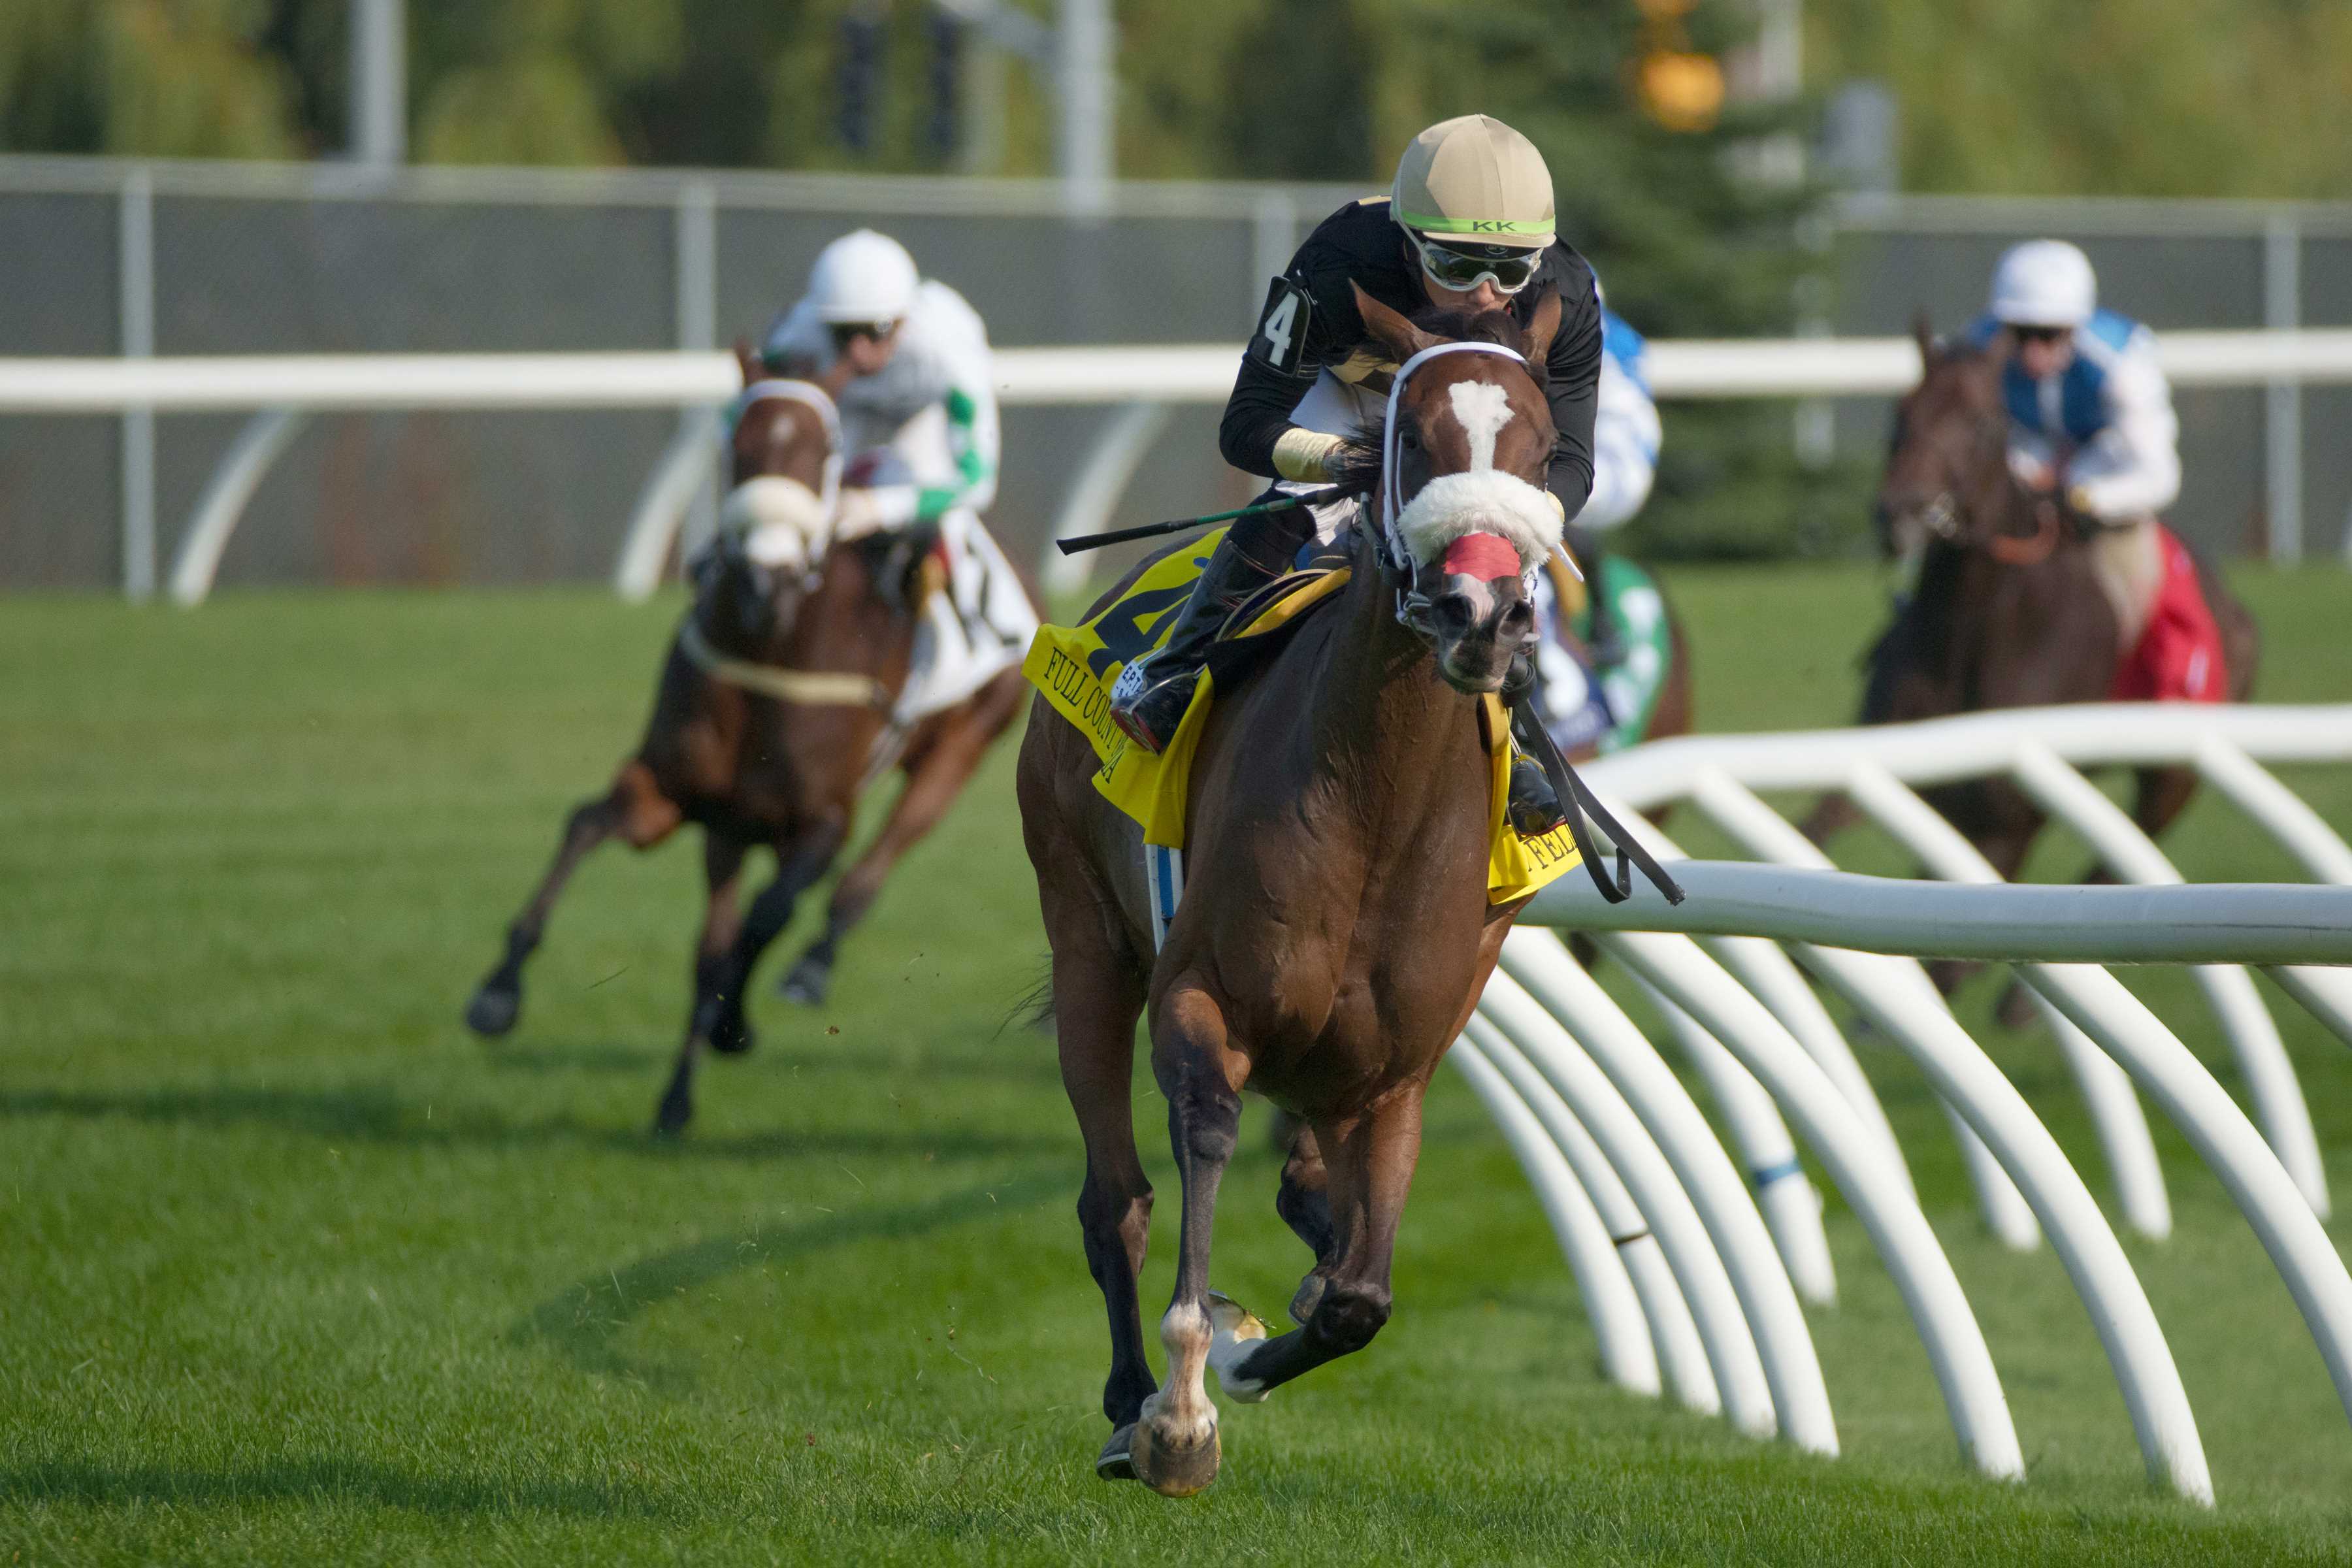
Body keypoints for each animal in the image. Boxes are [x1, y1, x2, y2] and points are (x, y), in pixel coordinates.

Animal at [463, 340, 1035, 1128]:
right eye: (738, 443)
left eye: (824, 449)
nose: (766, 579)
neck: (773, 645)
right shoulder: (673, 793)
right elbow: (587, 827)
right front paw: (498, 992)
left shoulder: (821, 819)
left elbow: (769, 915)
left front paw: (735, 1023)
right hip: (730, 828)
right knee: (711, 934)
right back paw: (676, 1100)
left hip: (960, 748)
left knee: (870, 866)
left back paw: (813, 966)